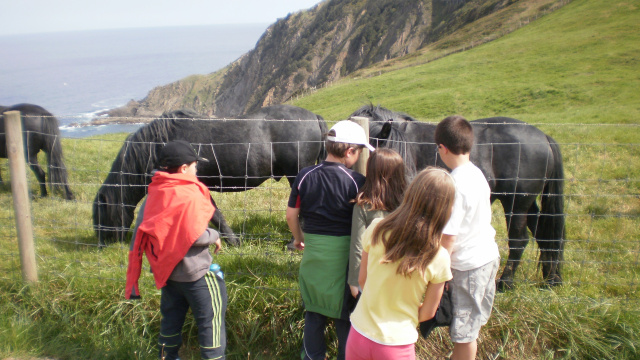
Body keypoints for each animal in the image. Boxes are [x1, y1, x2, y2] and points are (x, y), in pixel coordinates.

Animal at [92, 104, 328, 248]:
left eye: (101, 215)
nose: (101, 244)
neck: (158, 147)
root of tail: (313, 118)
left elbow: (214, 214)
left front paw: (232, 241)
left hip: (297, 175)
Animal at [352, 105, 568, 290]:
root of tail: (543, 137)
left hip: (516, 203)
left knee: (519, 240)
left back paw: (506, 282)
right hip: (528, 203)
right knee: (545, 234)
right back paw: (551, 278)